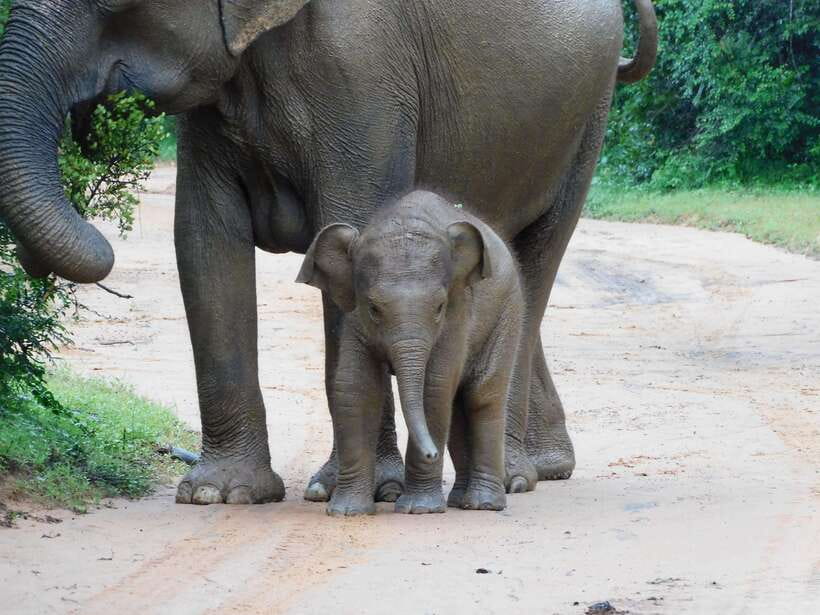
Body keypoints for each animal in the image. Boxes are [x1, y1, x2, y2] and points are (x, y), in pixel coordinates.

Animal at [297, 190, 522, 515]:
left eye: (439, 307)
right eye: (374, 308)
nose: (432, 454)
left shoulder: (458, 309)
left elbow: (434, 386)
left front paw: (419, 509)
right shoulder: (354, 316)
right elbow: (356, 387)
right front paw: (346, 512)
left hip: (508, 311)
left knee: (482, 396)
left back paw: (484, 505)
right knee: (458, 402)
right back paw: (459, 501)